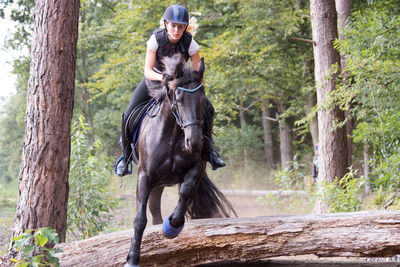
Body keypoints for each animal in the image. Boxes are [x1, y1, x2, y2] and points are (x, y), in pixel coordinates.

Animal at [125, 55, 236, 267]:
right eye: (178, 99)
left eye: (203, 101)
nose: (194, 141)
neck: (173, 136)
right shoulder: (145, 176)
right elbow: (140, 219)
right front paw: (132, 259)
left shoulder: (196, 169)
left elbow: (184, 197)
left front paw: (171, 227)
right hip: (156, 183)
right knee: (153, 210)